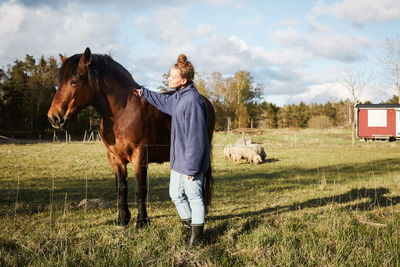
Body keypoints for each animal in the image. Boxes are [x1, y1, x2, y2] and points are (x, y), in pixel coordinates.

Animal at [48, 48, 216, 228]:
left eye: (74, 82)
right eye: (59, 82)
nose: (54, 118)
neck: (122, 113)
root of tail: (206, 102)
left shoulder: (140, 156)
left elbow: (140, 189)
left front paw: (142, 221)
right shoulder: (115, 158)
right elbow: (121, 188)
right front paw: (122, 219)